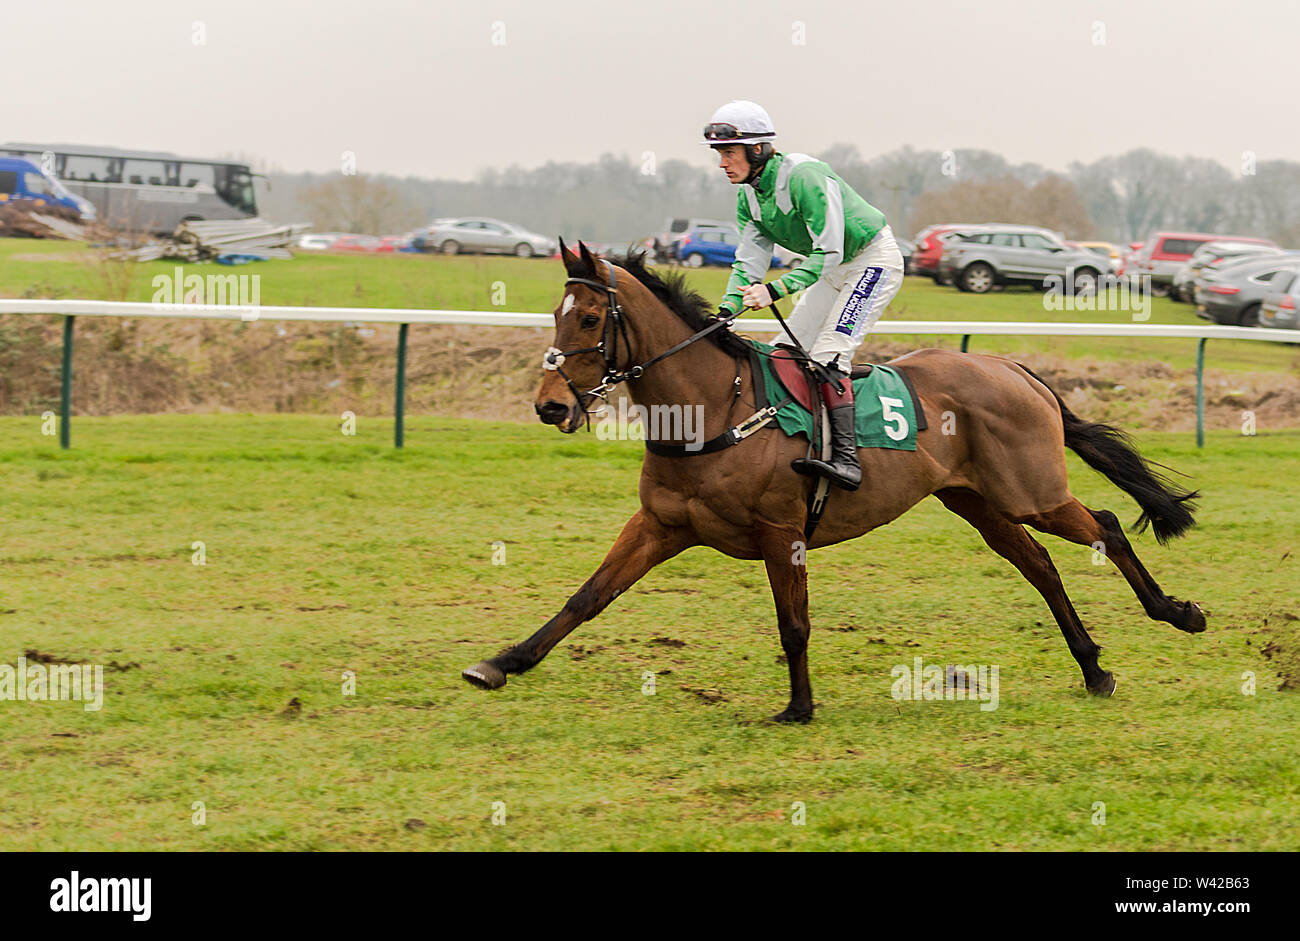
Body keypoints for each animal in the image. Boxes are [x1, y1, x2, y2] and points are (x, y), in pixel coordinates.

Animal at [460, 240, 1206, 722]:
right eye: (555, 315)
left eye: (589, 318)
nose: (549, 404)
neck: (715, 406)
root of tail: (1014, 368)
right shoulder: (661, 524)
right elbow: (586, 597)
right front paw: (502, 662)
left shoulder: (780, 529)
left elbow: (793, 623)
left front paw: (798, 705)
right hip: (978, 502)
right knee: (1041, 566)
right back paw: (1094, 667)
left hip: (1032, 491)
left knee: (1105, 528)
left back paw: (1176, 612)